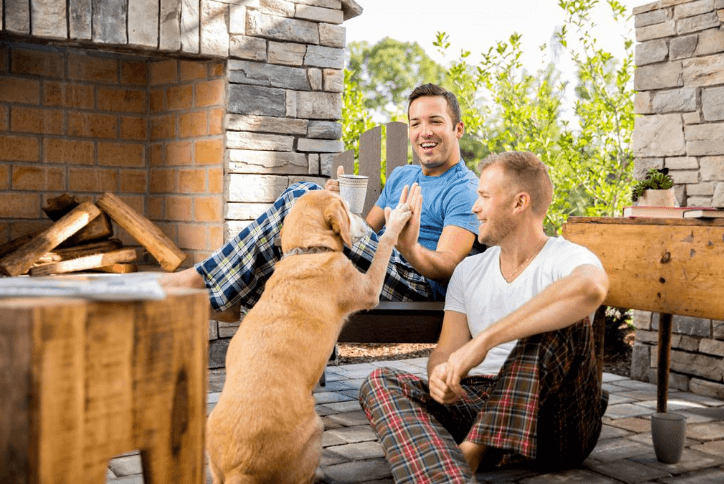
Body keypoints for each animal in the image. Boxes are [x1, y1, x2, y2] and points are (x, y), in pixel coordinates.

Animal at [206, 189, 410, 484]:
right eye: (346, 208)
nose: (365, 220)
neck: (307, 253)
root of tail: (238, 470)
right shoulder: (370, 288)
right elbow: (384, 246)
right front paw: (396, 220)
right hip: (316, 426)